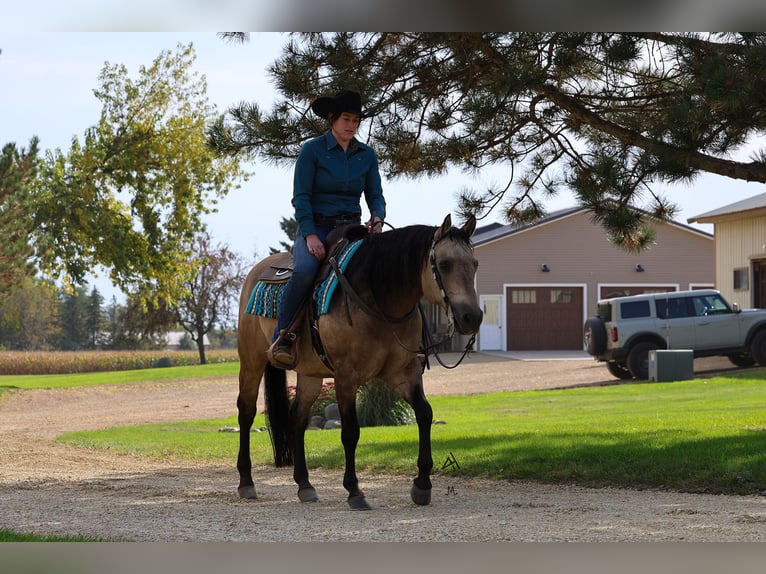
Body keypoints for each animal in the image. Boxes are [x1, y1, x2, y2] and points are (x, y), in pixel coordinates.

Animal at [235, 214, 483, 510]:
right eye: (444, 264)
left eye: (475, 264)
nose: (472, 317)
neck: (378, 296)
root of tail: (255, 272)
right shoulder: (346, 376)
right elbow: (351, 432)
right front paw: (354, 490)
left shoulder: (404, 372)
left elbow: (424, 414)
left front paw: (422, 485)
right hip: (251, 361)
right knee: (246, 412)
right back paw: (246, 482)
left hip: (310, 374)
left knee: (297, 418)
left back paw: (305, 485)